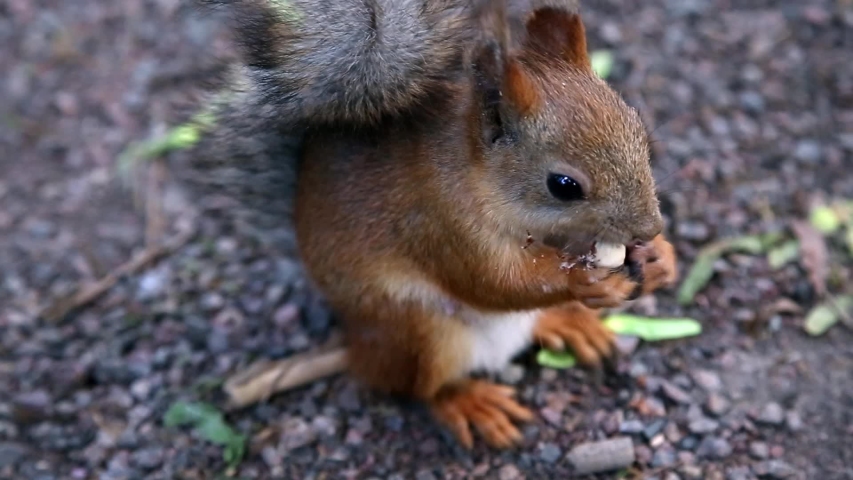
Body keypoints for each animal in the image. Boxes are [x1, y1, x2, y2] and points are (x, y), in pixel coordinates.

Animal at [181, 0, 680, 450]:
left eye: (638, 128)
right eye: (564, 185)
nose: (650, 228)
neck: (480, 178)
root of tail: (357, 347)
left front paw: (661, 259)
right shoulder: (440, 222)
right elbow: (495, 283)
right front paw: (585, 281)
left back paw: (570, 324)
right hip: (419, 333)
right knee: (422, 389)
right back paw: (470, 402)